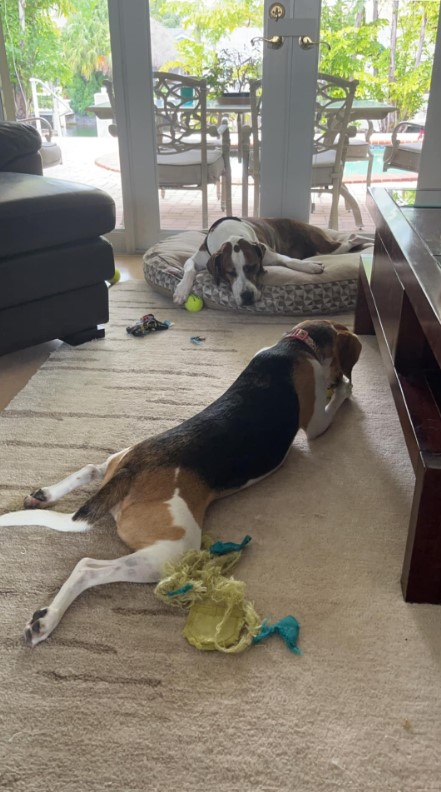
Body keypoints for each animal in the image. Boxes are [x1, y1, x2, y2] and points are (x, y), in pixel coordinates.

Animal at [0, 318, 360, 648]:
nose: (337, 380)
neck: (296, 344)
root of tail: (132, 470)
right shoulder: (316, 421)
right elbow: (330, 409)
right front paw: (345, 388)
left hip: (121, 461)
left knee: (91, 469)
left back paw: (44, 495)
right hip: (170, 551)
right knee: (87, 567)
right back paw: (46, 621)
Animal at [173, 217, 368, 310]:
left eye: (252, 267)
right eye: (229, 272)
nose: (247, 296)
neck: (231, 234)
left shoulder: (270, 254)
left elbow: (289, 261)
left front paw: (309, 266)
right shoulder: (198, 258)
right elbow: (189, 268)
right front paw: (181, 290)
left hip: (324, 245)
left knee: (345, 243)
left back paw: (360, 239)